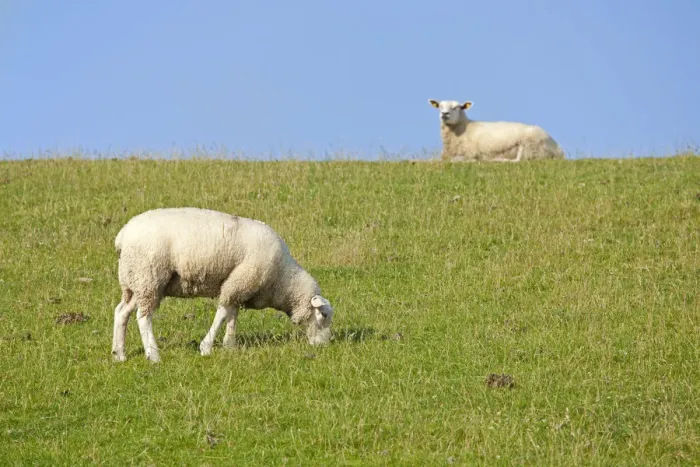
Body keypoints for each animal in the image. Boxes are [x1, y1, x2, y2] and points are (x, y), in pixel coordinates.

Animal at [111, 207, 334, 362]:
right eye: (323, 315)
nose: (324, 345)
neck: (282, 280)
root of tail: (122, 236)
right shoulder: (241, 280)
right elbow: (223, 313)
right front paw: (206, 347)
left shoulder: (240, 285)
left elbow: (233, 315)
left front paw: (229, 345)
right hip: (149, 277)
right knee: (143, 317)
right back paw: (154, 355)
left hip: (134, 282)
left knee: (122, 312)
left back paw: (119, 354)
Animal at [428, 99, 565, 162]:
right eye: (440, 106)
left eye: (457, 107)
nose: (444, 114)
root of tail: (559, 150)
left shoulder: (470, 153)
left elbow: (457, 160)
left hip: (530, 144)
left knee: (519, 160)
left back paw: (498, 160)